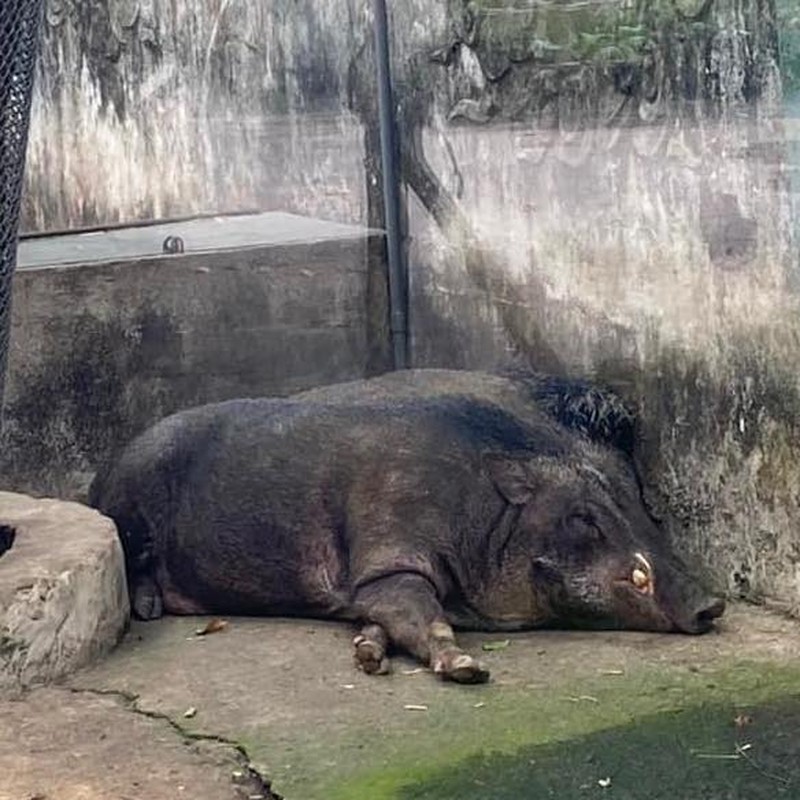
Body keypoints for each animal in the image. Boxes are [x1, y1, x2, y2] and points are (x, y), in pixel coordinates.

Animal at [92, 372, 724, 684]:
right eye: (582, 517)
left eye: (636, 500)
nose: (713, 604)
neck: (477, 516)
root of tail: (104, 471)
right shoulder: (386, 557)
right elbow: (418, 611)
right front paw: (469, 670)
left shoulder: (370, 589)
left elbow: (385, 619)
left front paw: (367, 657)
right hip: (128, 502)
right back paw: (148, 608)